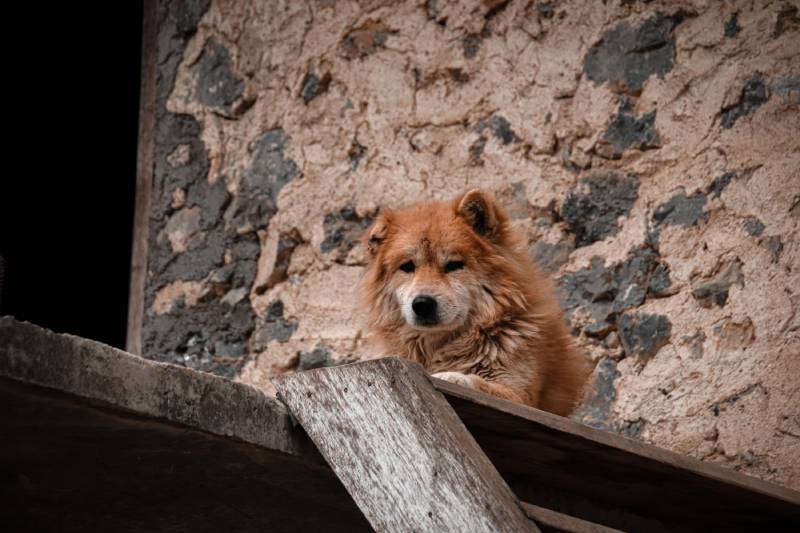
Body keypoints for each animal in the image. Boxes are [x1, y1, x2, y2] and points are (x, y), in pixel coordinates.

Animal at [362, 188, 588, 416]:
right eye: (407, 267)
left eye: (454, 265)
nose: (423, 304)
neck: (441, 345)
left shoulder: (521, 398)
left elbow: (477, 382)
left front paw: (452, 376)